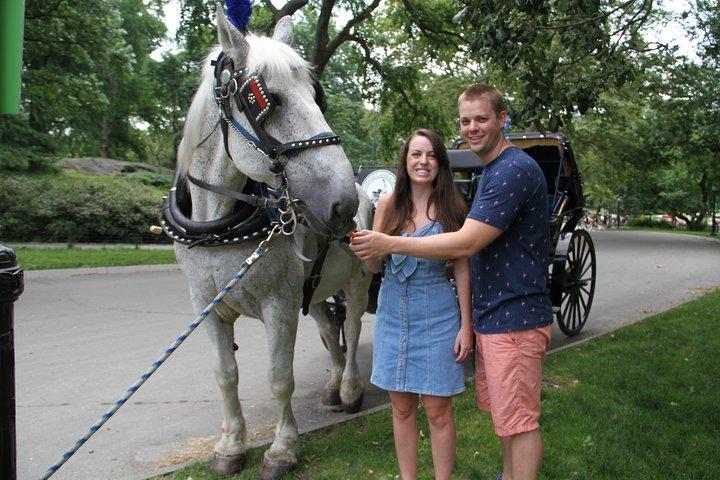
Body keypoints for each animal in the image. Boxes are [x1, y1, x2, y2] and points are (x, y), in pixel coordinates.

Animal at [167, 6, 373, 479]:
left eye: (317, 96)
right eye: (268, 100)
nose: (342, 203)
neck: (220, 225)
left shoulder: (279, 304)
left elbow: (280, 378)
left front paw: (282, 449)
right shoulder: (205, 305)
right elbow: (225, 374)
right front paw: (230, 445)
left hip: (358, 279)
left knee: (352, 329)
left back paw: (350, 388)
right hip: (315, 288)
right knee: (328, 330)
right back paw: (333, 384)